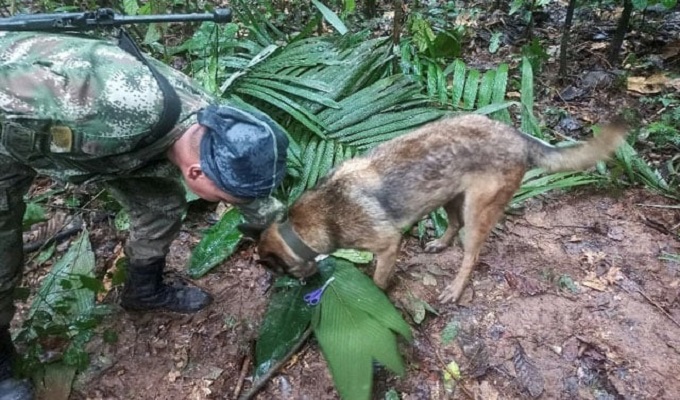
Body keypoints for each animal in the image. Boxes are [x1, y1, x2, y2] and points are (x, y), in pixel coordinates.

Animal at [251, 113, 628, 304]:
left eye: (281, 272)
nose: (304, 286)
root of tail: (518, 136)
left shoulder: (388, 245)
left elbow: (378, 279)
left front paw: (375, 295)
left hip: (478, 211)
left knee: (471, 253)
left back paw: (455, 289)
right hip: (449, 195)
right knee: (454, 224)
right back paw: (440, 244)